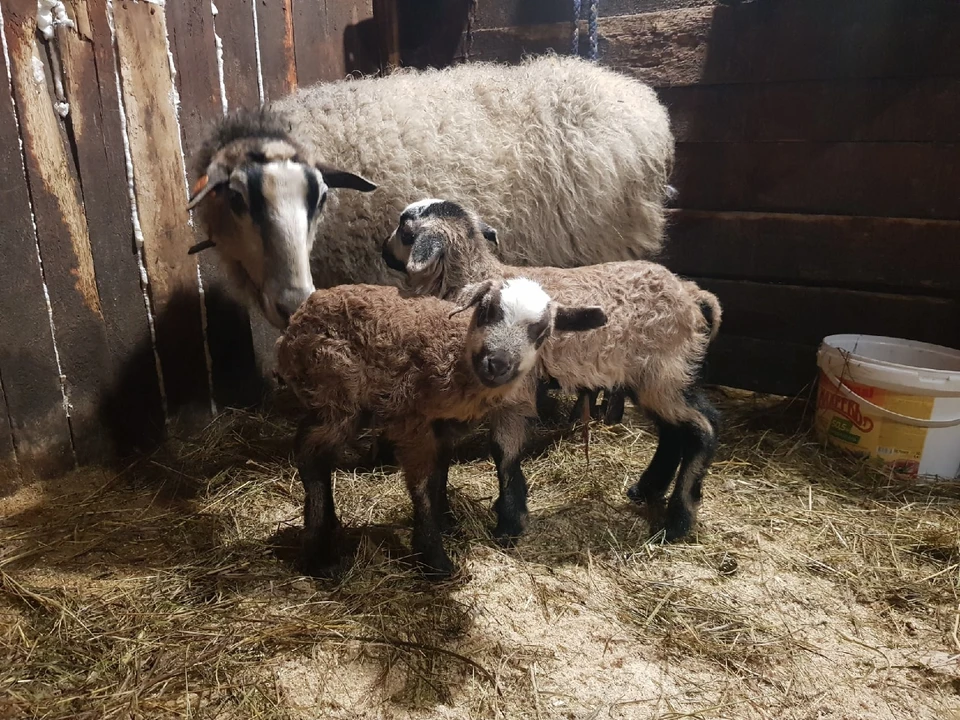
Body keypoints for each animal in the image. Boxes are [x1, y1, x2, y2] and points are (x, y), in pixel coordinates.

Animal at [278, 278, 604, 576]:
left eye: (542, 331)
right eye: (486, 311)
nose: (497, 364)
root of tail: (306, 309)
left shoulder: (465, 420)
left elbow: (492, 460)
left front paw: (497, 524)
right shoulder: (411, 421)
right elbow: (422, 484)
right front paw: (434, 557)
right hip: (334, 390)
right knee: (311, 454)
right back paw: (319, 555)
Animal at [382, 200, 720, 544]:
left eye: (405, 228)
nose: (383, 248)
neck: (477, 275)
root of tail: (694, 295)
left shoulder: (516, 392)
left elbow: (504, 450)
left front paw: (510, 523)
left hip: (666, 370)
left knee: (703, 428)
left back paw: (678, 520)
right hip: (652, 376)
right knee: (673, 430)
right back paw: (647, 489)